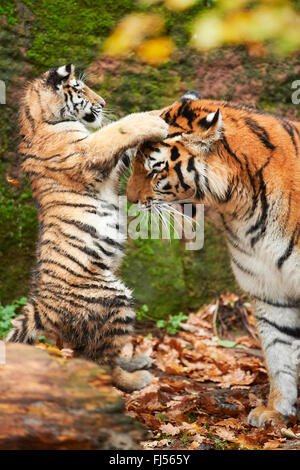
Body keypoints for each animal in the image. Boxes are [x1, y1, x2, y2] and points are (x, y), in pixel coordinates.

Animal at [5, 63, 169, 392]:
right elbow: (119, 129)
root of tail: (41, 307)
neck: (39, 119)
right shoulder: (89, 152)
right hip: (113, 300)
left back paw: (136, 362)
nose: (103, 103)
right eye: (80, 89)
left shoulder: (109, 165)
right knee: (101, 362)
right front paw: (154, 120)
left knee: (92, 355)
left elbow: (123, 143)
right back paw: (136, 378)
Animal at [126, 91, 300, 426]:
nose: (129, 199)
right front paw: (276, 409)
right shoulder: (270, 289)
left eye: (155, 169)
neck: (242, 207)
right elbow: (279, 352)